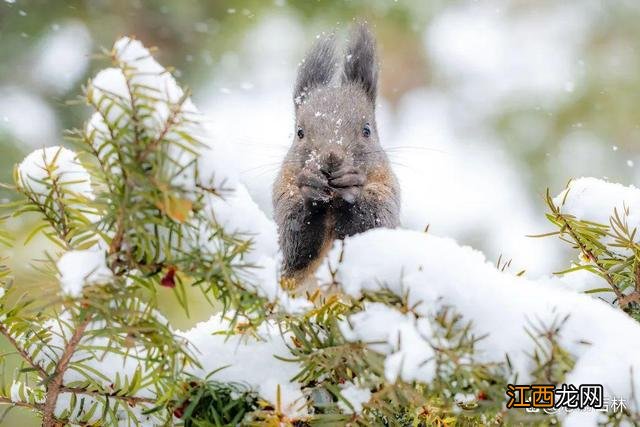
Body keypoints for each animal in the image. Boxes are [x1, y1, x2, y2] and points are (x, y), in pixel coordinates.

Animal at [272, 24, 400, 284]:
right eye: (299, 132)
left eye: (366, 130)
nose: (331, 158)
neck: (332, 202)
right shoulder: (283, 193)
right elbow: (293, 244)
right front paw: (311, 188)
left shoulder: (388, 192)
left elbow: (374, 223)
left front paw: (351, 186)